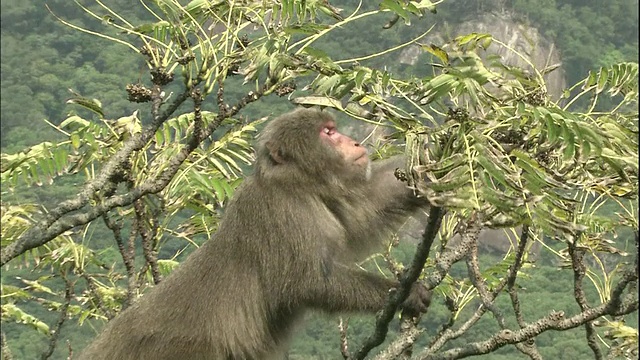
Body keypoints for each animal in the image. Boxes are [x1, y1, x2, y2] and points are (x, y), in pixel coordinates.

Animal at [80, 107, 430, 360]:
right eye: (329, 133)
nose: (355, 143)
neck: (296, 185)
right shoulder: (281, 212)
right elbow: (309, 281)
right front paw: (406, 292)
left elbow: (367, 210)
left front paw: (433, 165)